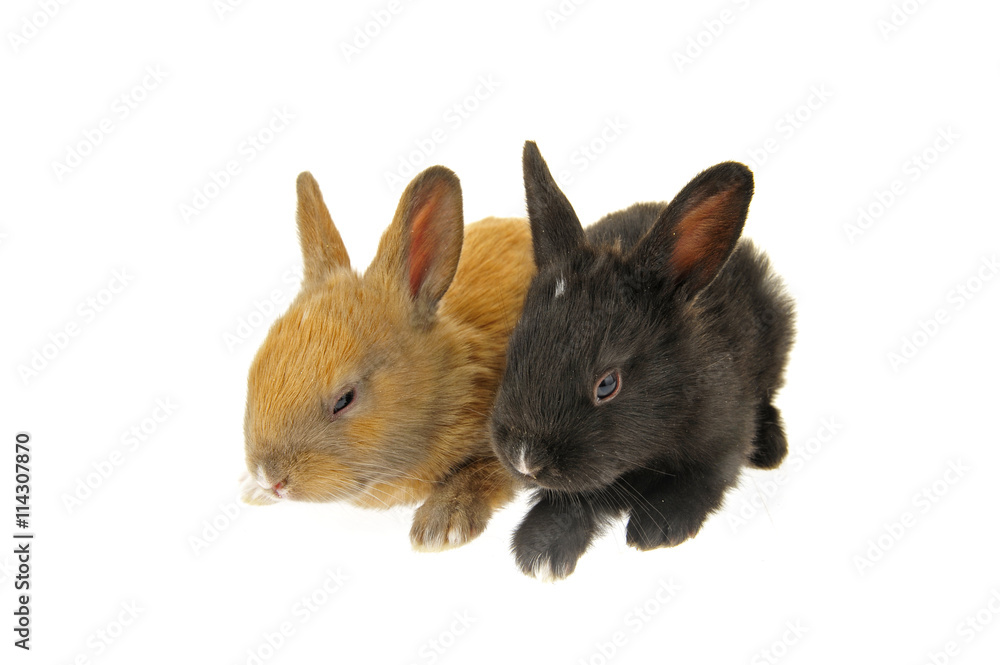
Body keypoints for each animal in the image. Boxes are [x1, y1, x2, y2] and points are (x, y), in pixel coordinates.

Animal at [241, 165, 535, 551]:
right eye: (254, 371)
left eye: (344, 400)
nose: (270, 479)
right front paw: (250, 491)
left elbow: (481, 474)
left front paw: (440, 526)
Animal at [489, 141, 795, 580]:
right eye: (514, 349)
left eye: (607, 384)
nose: (525, 460)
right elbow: (576, 499)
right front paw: (539, 549)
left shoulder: (723, 439)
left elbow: (702, 479)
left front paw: (658, 529)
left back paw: (772, 448)